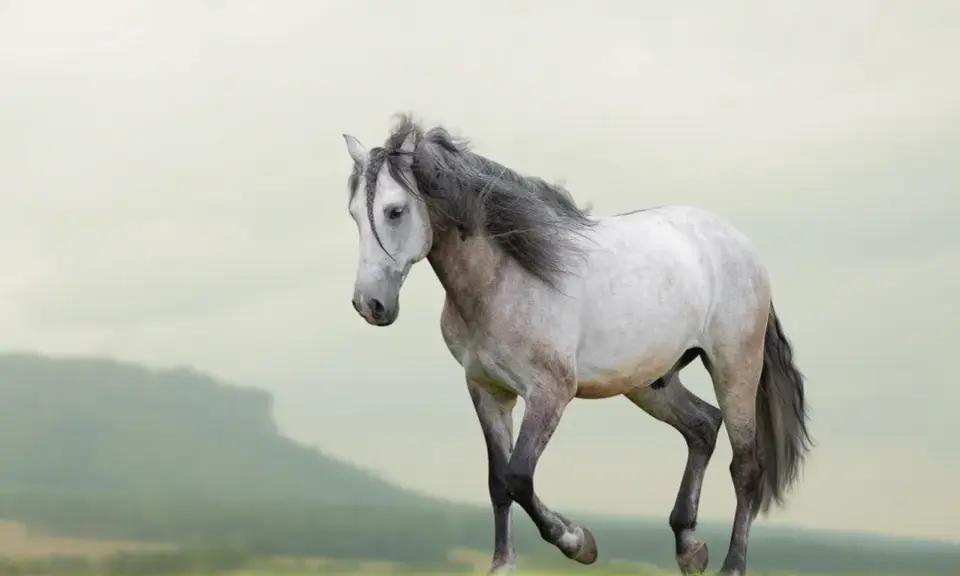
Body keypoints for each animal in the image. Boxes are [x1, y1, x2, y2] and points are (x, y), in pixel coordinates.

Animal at [340, 114, 812, 576]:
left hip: (735, 369)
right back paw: (689, 549)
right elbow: (498, 482)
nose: (370, 305)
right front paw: (503, 565)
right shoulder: (487, 390)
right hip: (651, 382)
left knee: (746, 465)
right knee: (703, 426)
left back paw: (730, 565)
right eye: (354, 215)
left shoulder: (550, 392)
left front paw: (579, 543)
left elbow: (519, 476)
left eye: (395, 211)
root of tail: (742, 247)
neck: (507, 277)